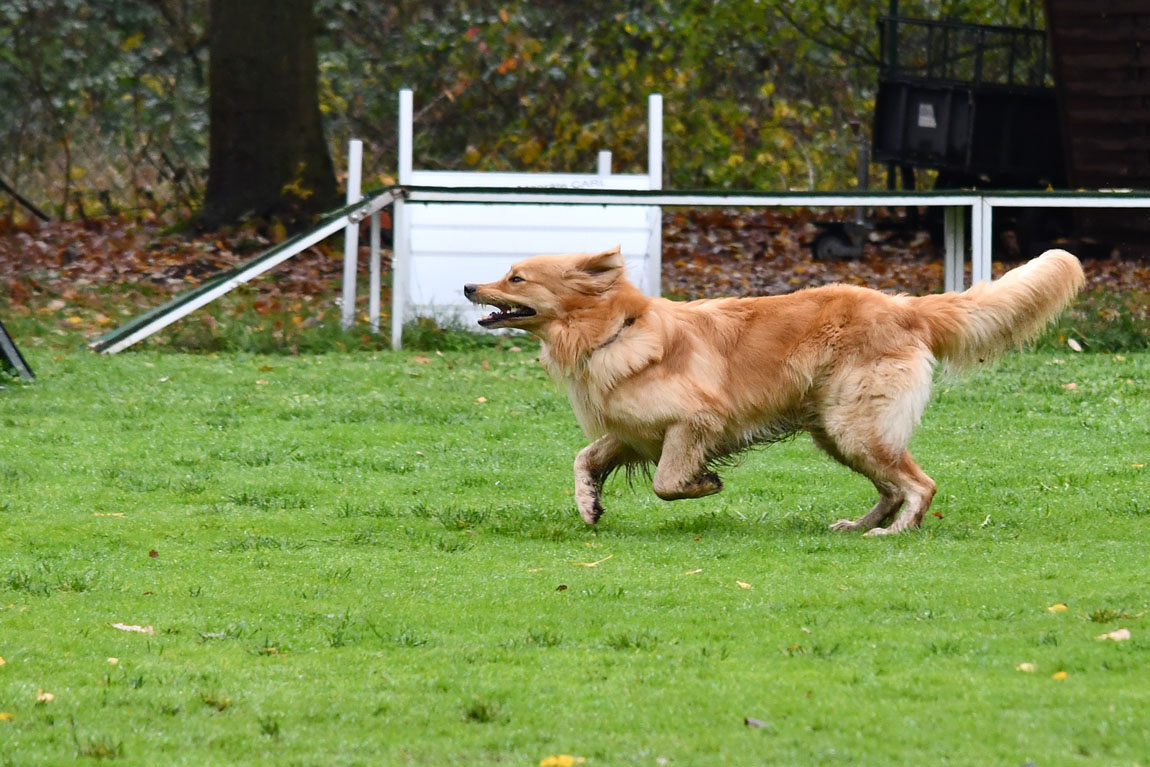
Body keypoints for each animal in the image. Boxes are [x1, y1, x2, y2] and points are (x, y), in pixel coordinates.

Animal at [462, 249, 1081, 538]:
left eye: (516, 278)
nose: (468, 285)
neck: (615, 330)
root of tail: (903, 305)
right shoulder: (632, 434)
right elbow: (584, 458)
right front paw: (589, 504)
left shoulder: (695, 421)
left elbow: (667, 483)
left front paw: (705, 483)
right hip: (837, 432)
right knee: (892, 486)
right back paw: (859, 527)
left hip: (855, 426)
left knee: (919, 485)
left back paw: (896, 533)